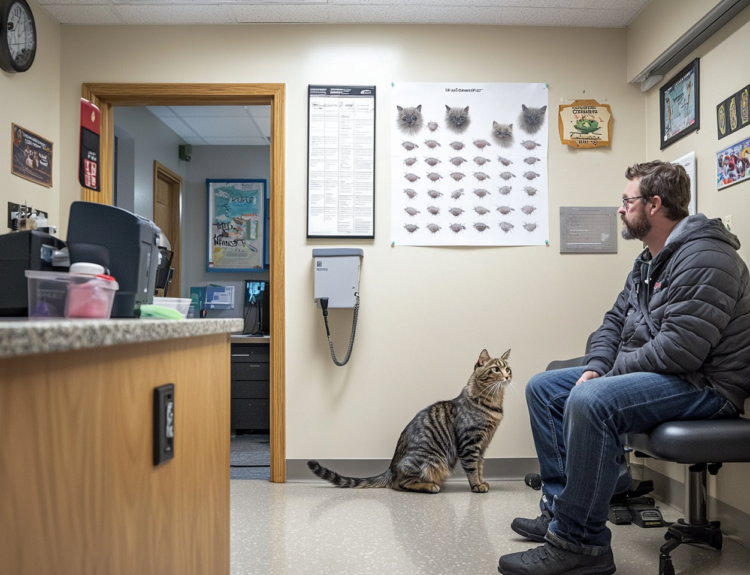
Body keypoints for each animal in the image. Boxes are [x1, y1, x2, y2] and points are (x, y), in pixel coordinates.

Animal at [308, 348, 516, 492]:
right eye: (496, 369)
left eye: (508, 368)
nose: (507, 376)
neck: (493, 404)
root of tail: (391, 467)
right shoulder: (470, 443)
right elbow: (472, 468)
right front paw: (476, 486)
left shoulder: (483, 445)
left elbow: (479, 467)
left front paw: (481, 482)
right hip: (432, 459)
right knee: (399, 483)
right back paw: (429, 486)